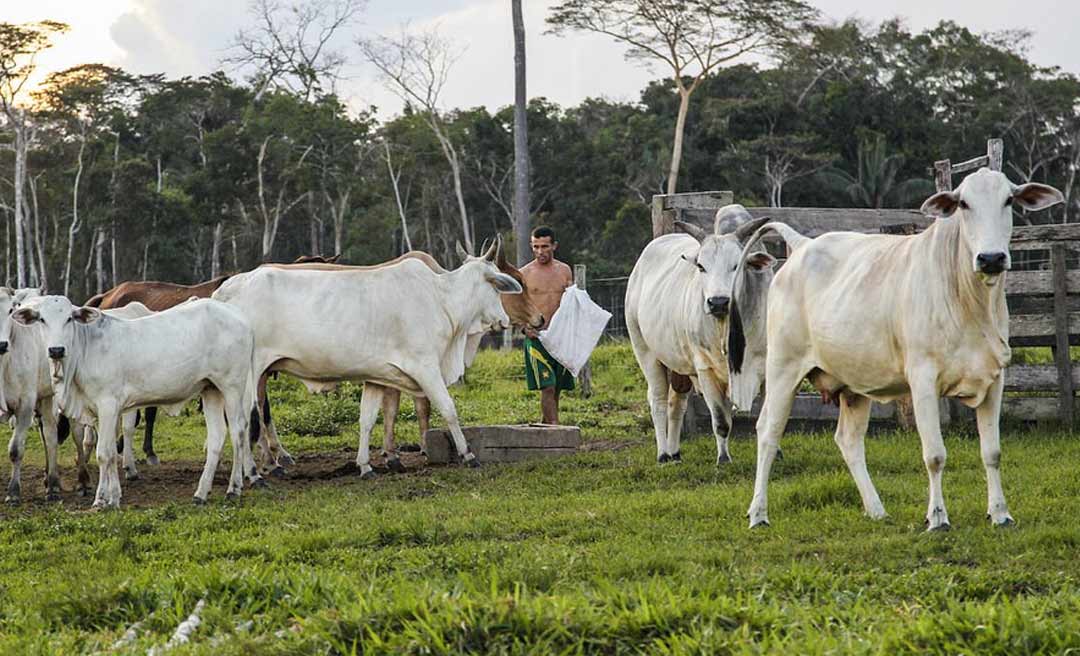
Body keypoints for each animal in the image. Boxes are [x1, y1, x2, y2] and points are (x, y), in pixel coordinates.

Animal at [13, 296, 260, 507]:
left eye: (69, 318)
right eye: (42, 319)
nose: (56, 350)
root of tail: (239, 316)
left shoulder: (108, 404)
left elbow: (103, 454)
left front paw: (102, 500)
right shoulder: (103, 411)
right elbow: (111, 452)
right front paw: (112, 496)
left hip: (232, 386)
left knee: (238, 432)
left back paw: (234, 488)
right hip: (210, 389)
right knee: (217, 436)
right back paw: (201, 493)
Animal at [210, 238, 522, 475]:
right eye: (497, 286)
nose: (505, 320)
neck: (441, 299)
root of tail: (226, 288)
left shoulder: (377, 377)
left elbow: (367, 419)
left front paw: (365, 465)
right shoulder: (426, 367)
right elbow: (448, 409)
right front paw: (468, 455)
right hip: (250, 373)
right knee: (246, 419)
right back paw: (257, 470)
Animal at [626, 206, 777, 466]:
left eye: (736, 265)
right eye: (701, 266)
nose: (718, 302)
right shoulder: (706, 369)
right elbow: (721, 420)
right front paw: (723, 459)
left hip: (680, 367)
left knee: (676, 404)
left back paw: (675, 453)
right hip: (644, 350)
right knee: (657, 400)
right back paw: (663, 454)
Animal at [743, 166, 1062, 531]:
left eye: (1009, 200)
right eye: (963, 204)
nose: (991, 258)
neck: (970, 302)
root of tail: (802, 246)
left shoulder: (995, 379)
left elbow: (992, 453)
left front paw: (1000, 513)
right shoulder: (922, 380)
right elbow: (935, 455)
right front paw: (937, 517)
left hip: (853, 386)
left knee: (848, 440)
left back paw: (876, 509)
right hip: (783, 368)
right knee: (768, 432)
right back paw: (758, 513)